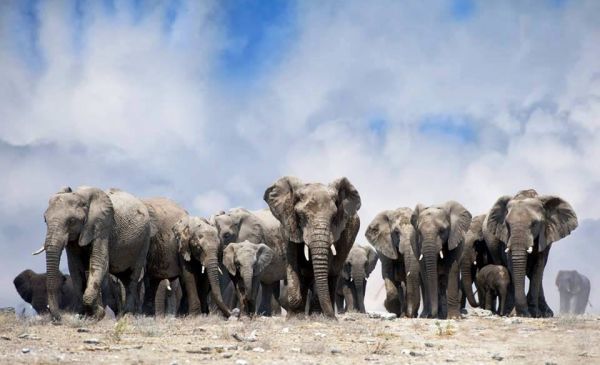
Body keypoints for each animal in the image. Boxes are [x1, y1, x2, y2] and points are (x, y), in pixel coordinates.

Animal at [264, 175, 358, 318]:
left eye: (333, 217)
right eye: (302, 217)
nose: (333, 318)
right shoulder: (288, 222)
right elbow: (293, 259)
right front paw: (294, 315)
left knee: (334, 271)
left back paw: (320, 314)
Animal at [486, 189, 580, 318]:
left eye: (535, 223)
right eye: (507, 224)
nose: (524, 314)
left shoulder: (545, 235)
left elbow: (538, 267)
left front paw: (533, 313)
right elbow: (512, 265)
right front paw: (516, 313)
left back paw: (546, 313)